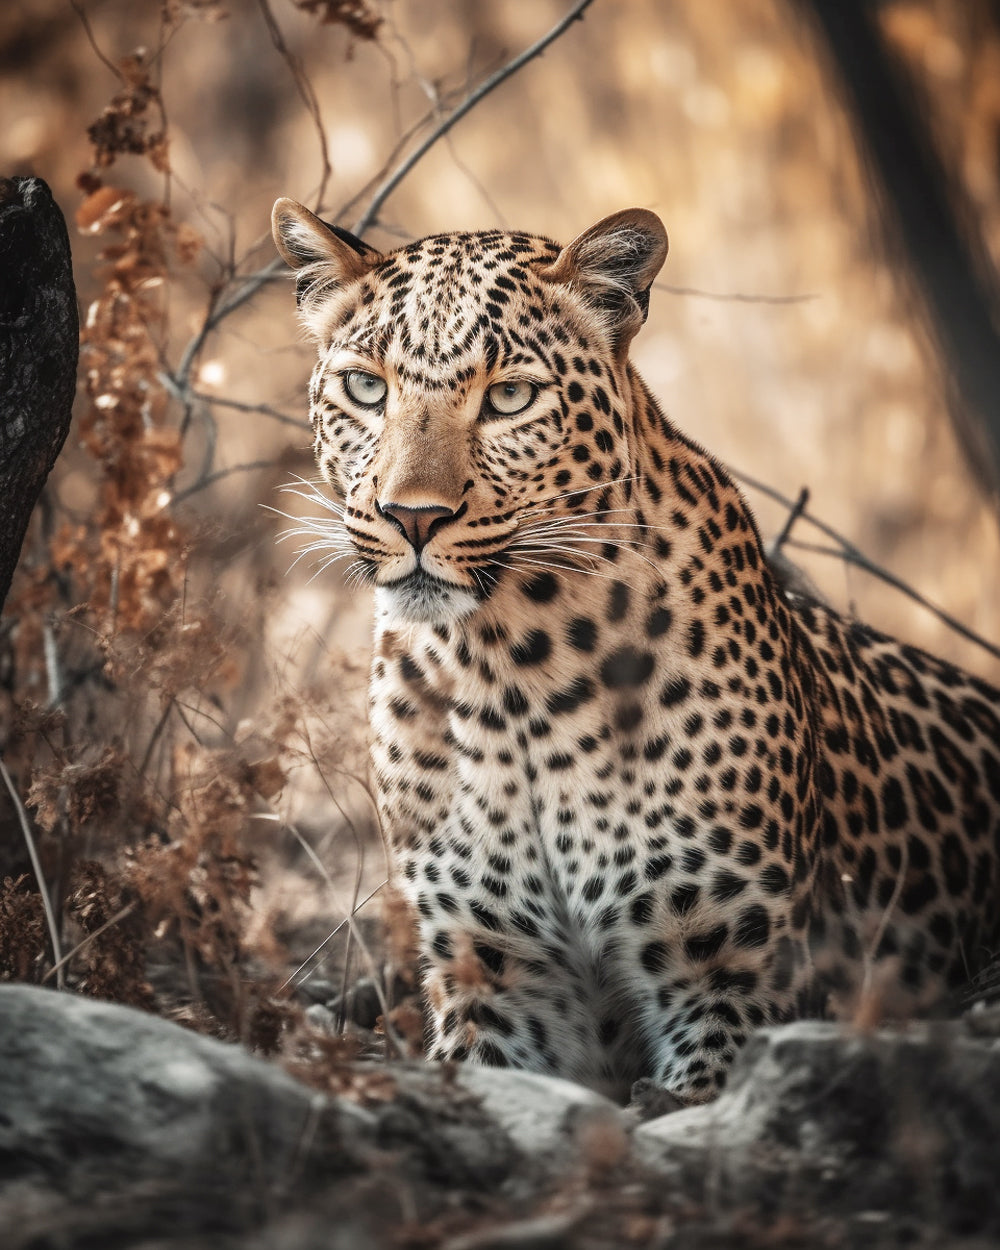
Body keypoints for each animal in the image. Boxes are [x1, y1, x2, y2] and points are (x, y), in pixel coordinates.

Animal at [272, 198, 1000, 1104]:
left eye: (510, 397)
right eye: (366, 388)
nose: (412, 516)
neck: (505, 669)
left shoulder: (732, 980)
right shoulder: (497, 980)